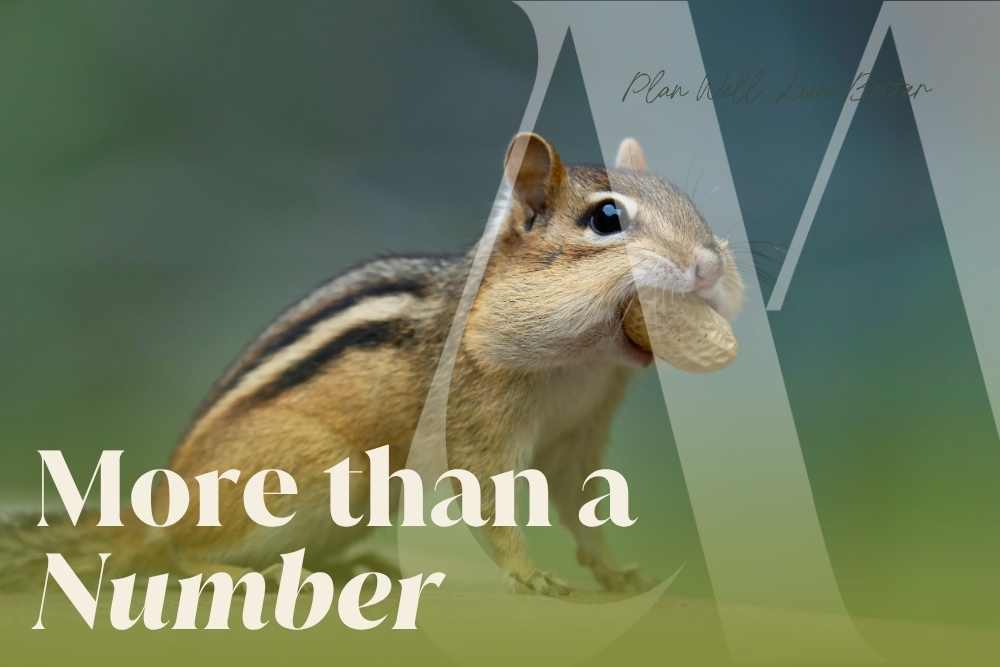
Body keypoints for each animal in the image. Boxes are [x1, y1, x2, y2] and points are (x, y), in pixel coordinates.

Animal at [2, 133, 743, 596]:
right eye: (607, 217)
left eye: (686, 201)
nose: (710, 264)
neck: (582, 363)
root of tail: (153, 502)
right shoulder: (476, 423)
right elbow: (491, 506)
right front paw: (528, 574)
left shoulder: (578, 432)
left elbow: (583, 510)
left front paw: (616, 573)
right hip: (316, 472)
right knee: (179, 552)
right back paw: (244, 573)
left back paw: (357, 565)